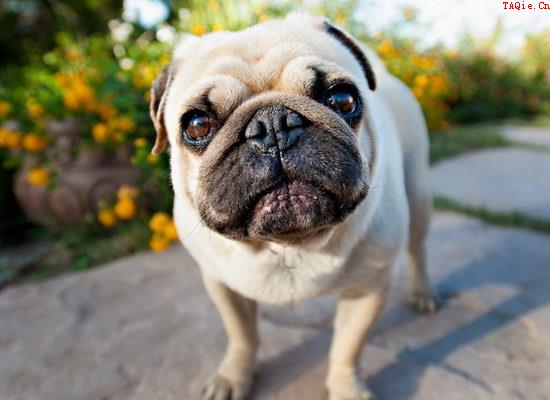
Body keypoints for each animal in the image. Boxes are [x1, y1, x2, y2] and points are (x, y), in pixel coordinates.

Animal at [150, 12, 440, 400]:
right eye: (197, 125)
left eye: (343, 100)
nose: (272, 124)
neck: (289, 244)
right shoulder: (223, 286)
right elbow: (241, 336)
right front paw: (233, 377)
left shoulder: (367, 289)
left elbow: (347, 348)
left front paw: (346, 388)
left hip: (418, 192)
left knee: (417, 248)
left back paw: (423, 292)